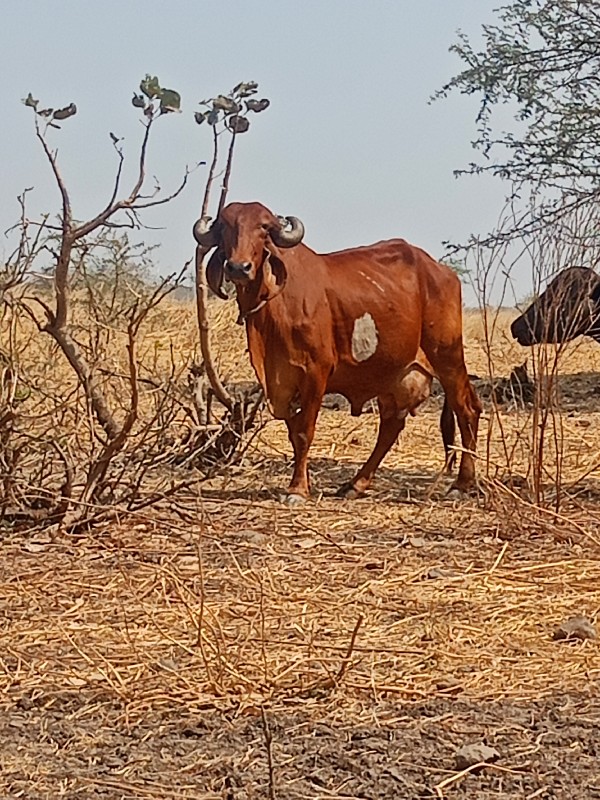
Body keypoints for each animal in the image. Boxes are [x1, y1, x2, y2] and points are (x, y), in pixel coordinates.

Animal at [195, 202, 480, 500]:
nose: (238, 267)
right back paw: (355, 484)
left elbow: (304, 432)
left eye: (263, 227)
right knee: (391, 425)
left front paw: (297, 489)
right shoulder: (281, 383)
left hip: (447, 355)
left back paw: (462, 484)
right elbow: (293, 432)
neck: (273, 306)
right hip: (393, 374)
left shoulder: (315, 372)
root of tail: (442, 271)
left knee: (467, 409)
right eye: (225, 225)